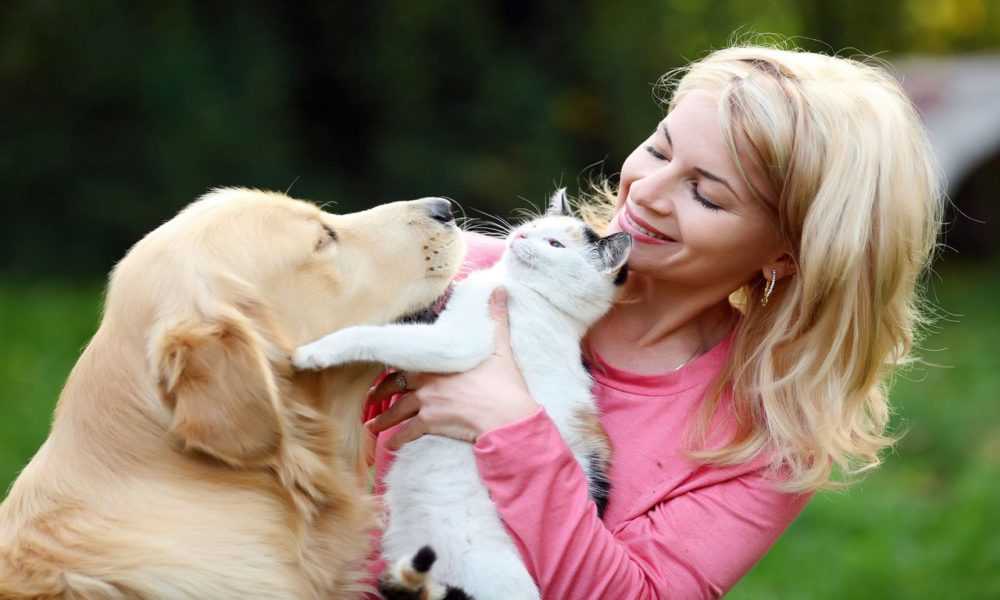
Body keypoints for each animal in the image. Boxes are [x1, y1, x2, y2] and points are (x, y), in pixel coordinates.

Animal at [292, 191, 632, 600]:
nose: (521, 237)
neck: (528, 294)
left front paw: (315, 351)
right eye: (534, 226)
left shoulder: (459, 343)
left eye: (555, 245)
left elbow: (375, 336)